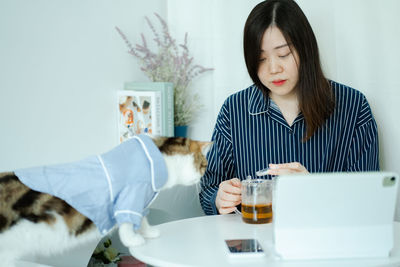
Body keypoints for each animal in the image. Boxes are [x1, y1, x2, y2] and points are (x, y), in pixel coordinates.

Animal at [0, 136, 212, 267]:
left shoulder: (141, 200)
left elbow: (142, 218)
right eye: (203, 164)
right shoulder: (131, 195)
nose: (203, 176)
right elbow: (128, 221)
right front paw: (134, 239)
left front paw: (149, 232)